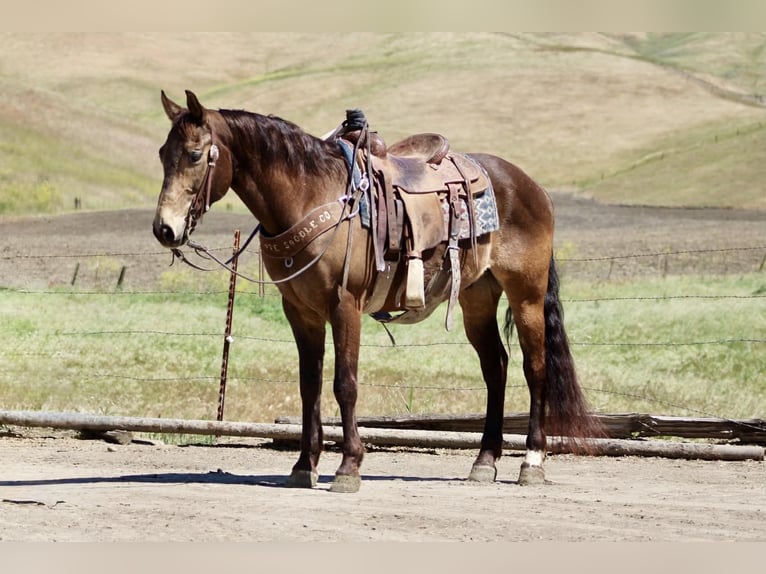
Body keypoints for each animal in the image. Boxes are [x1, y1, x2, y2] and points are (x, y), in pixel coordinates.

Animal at [152, 90, 601, 493]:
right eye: (162, 153)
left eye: (195, 155)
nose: (164, 229)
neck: (311, 194)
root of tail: (532, 187)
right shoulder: (300, 311)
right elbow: (309, 385)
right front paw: (303, 466)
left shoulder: (344, 304)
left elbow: (344, 384)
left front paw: (349, 467)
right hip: (477, 296)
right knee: (496, 367)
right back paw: (484, 462)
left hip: (526, 295)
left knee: (534, 368)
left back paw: (532, 462)